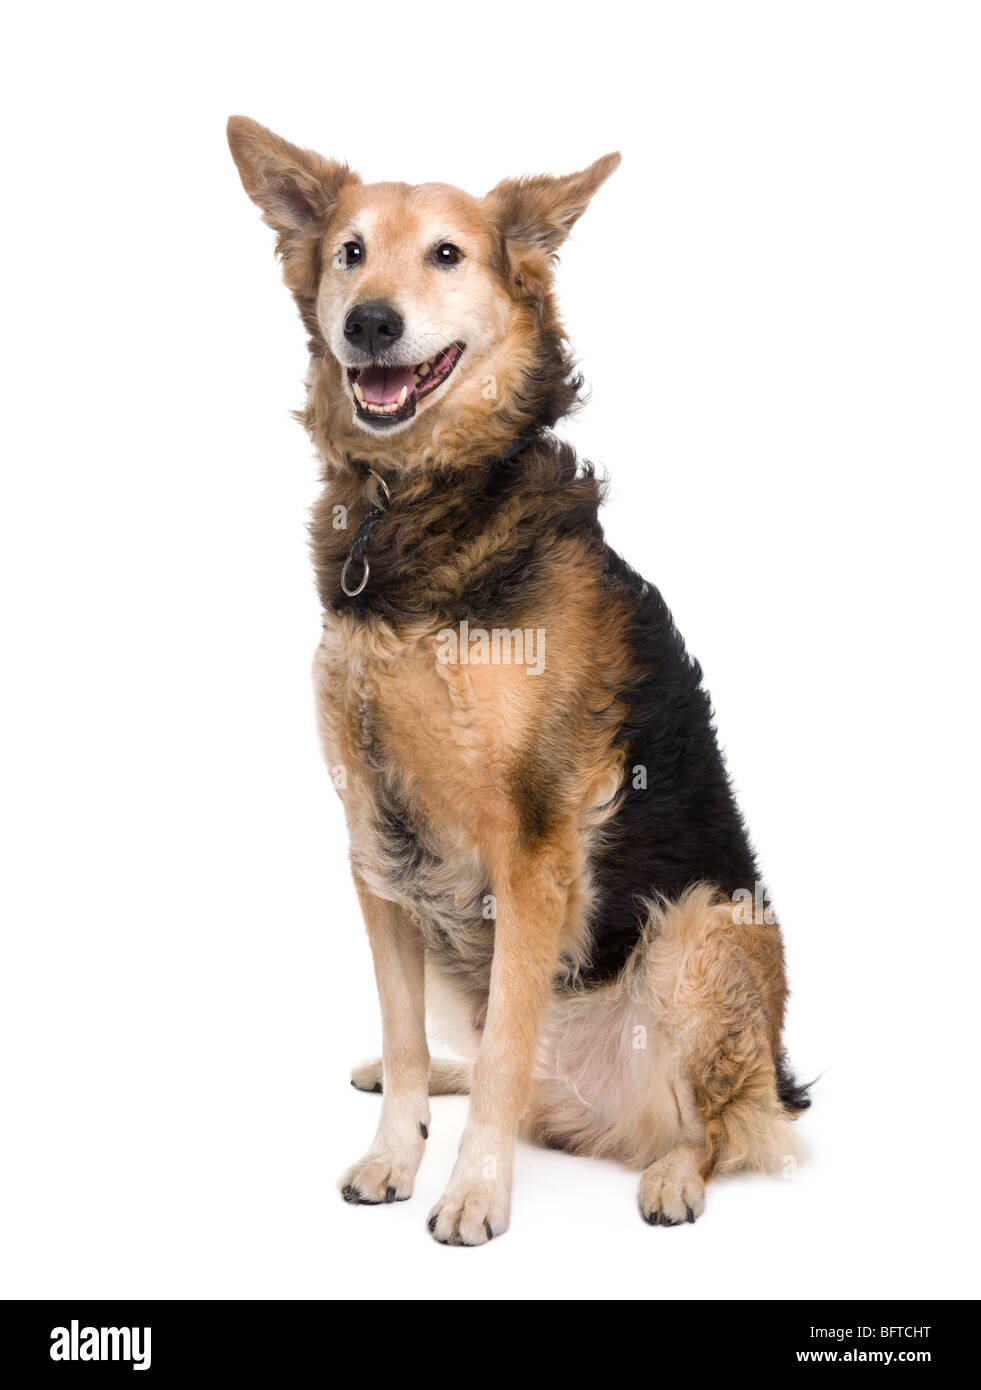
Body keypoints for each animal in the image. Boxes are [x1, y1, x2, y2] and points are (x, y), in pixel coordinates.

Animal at [230, 119, 811, 1245]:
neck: (410, 513)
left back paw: (671, 1176)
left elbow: (503, 1052)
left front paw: (473, 1193)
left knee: (719, 1126)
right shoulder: (376, 839)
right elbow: (408, 1033)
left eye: (448, 255)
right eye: (351, 252)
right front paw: (393, 1154)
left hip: (704, 930)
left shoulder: (530, 843)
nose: (370, 324)